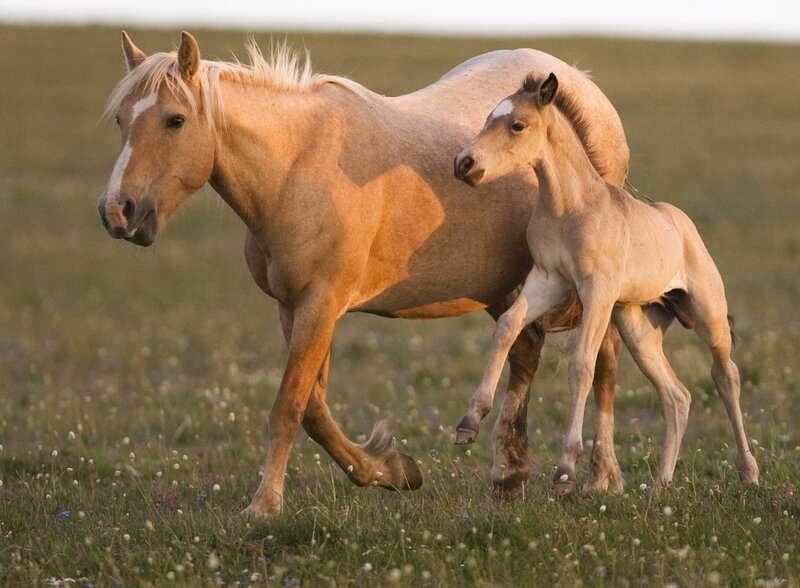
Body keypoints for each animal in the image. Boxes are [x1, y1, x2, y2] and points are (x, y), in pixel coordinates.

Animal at [97, 31, 631, 516]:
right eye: (121, 120)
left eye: (175, 120)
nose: (116, 212)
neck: (296, 167)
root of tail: (582, 86)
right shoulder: (294, 307)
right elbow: (313, 410)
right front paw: (392, 470)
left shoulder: (321, 304)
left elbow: (288, 408)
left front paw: (264, 505)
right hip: (505, 287)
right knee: (524, 350)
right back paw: (509, 475)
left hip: (592, 287)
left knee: (602, 359)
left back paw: (600, 477)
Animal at [453, 73, 760, 493]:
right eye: (487, 119)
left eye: (517, 125)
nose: (464, 163)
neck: (569, 207)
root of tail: (683, 225)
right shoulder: (547, 280)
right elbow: (507, 326)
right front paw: (468, 424)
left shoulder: (596, 291)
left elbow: (582, 364)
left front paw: (566, 469)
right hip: (637, 328)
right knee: (677, 396)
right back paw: (660, 482)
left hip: (708, 315)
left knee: (726, 376)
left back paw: (749, 472)